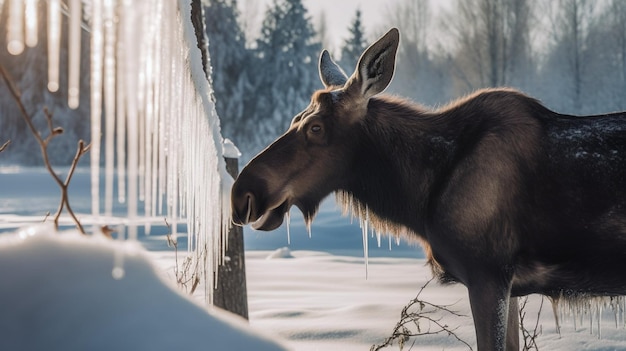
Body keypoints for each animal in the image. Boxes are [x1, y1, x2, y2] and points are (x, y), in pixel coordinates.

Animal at [230, 28, 624, 350]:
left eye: (314, 127)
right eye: (297, 119)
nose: (242, 193)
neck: (419, 197)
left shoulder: (488, 273)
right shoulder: (508, 284)